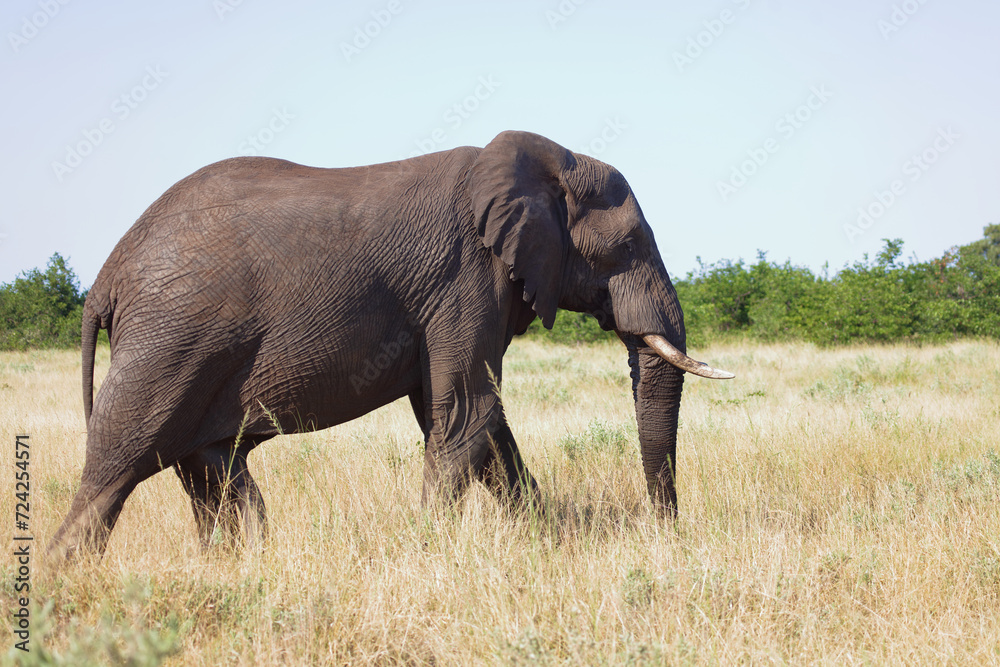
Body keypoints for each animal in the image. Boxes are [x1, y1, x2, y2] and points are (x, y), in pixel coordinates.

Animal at [48, 128, 736, 560]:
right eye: (630, 245)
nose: (666, 531)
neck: (546, 161)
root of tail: (105, 278)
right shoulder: (467, 276)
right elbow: (468, 413)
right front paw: (430, 546)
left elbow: (480, 424)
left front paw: (541, 541)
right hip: (170, 341)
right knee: (113, 473)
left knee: (217, 473)